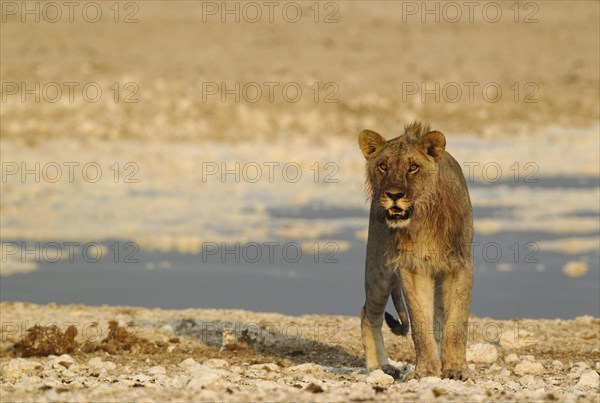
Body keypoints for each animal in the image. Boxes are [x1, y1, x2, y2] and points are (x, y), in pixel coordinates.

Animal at [356, 122, 474, 382]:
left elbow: (456, 323)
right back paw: (379, 367)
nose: (394, 195)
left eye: (413, 168)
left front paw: (455, 369)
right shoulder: (412, 268)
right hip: (378, 270)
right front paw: (426, 371)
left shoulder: (459, 265)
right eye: (383, 166)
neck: (422, 220)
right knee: (368, 314)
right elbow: (420, 324)